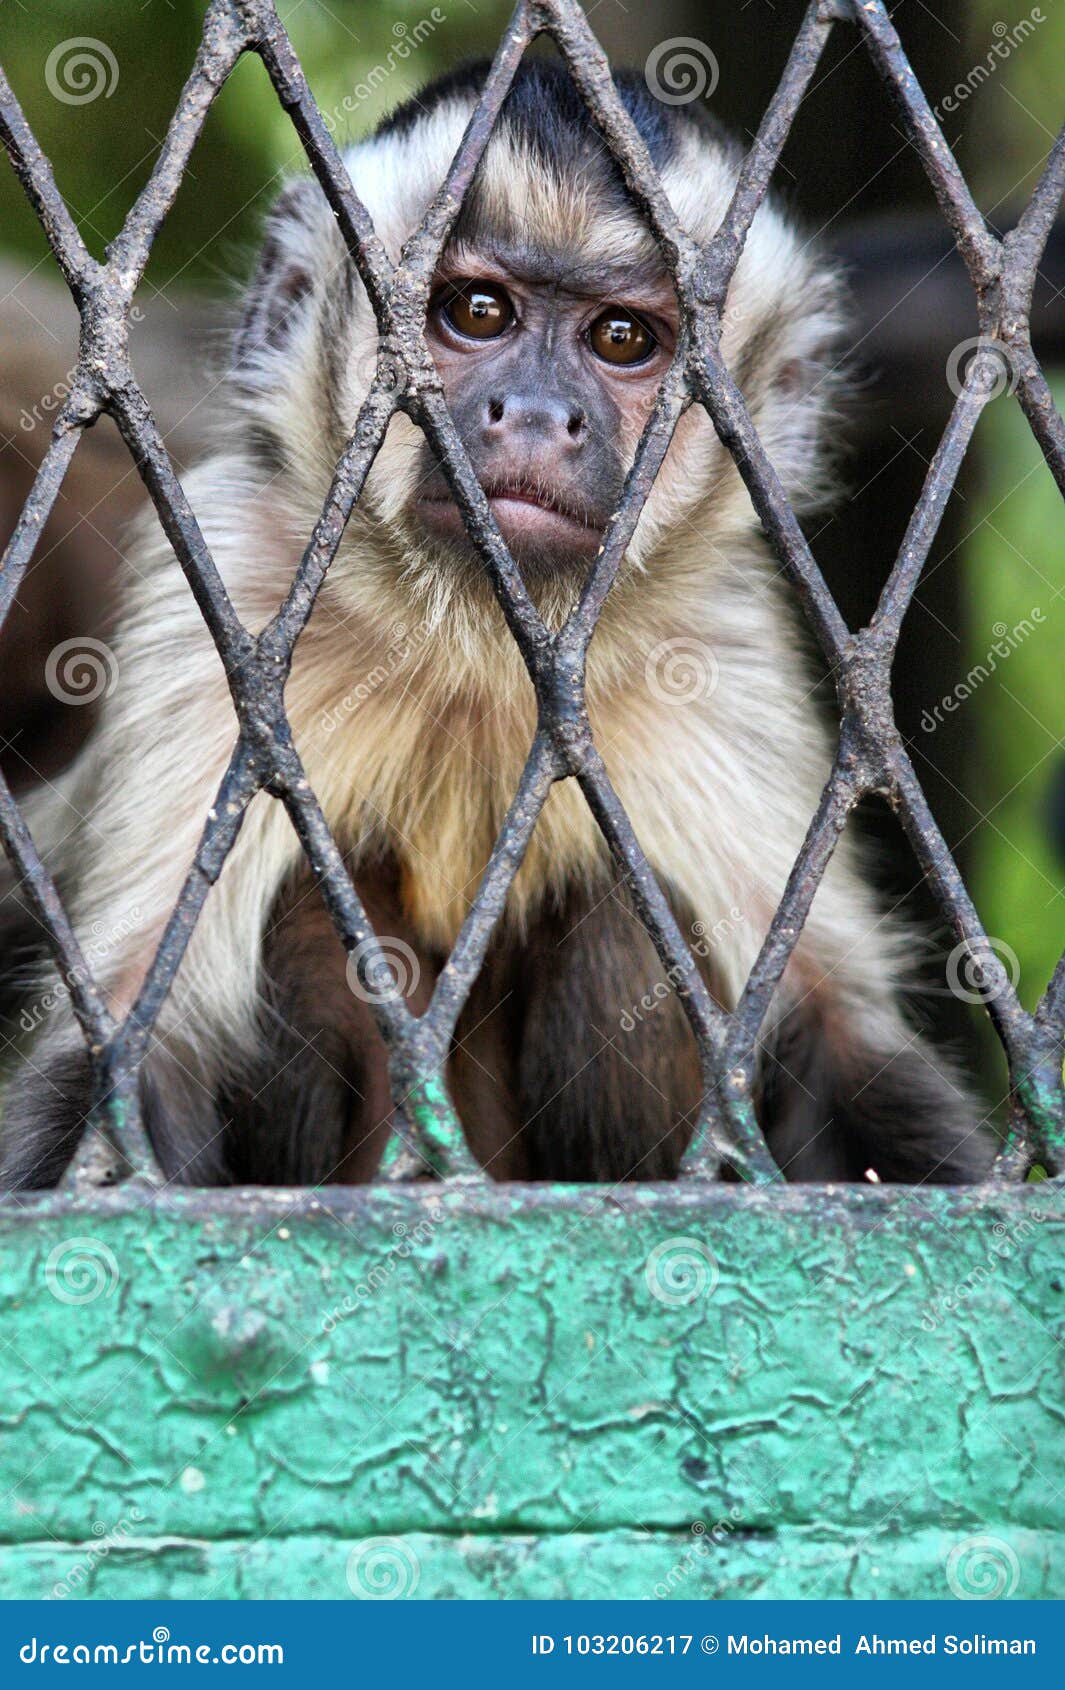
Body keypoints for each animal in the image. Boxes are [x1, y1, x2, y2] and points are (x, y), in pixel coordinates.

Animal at [0, 59, 993, 1190]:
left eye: (621, 339)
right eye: (477, 312)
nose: (533, 412)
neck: (478, 644)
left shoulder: (726, 642)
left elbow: (839, 1044)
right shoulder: (229, 579)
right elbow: (135, 1047)